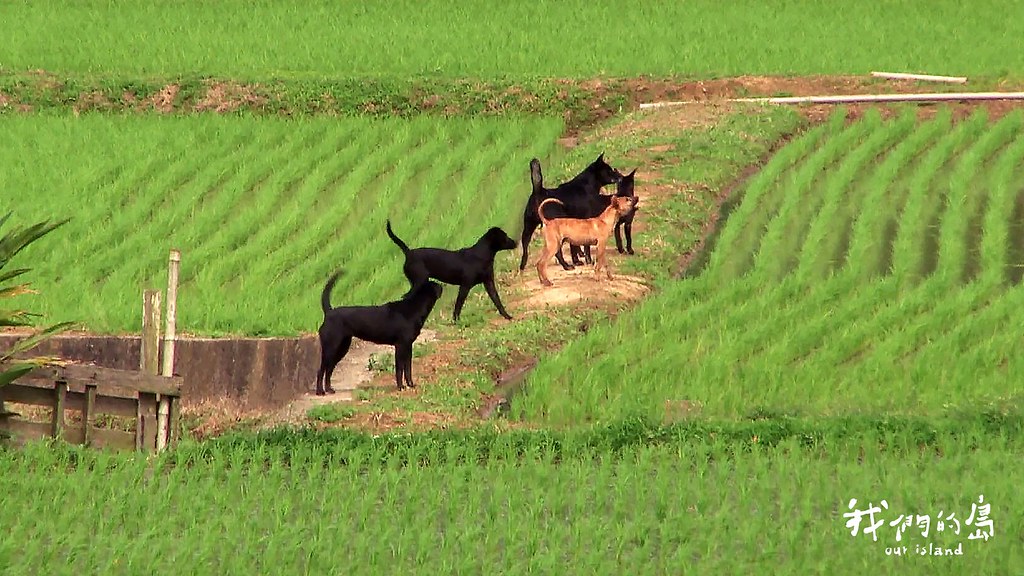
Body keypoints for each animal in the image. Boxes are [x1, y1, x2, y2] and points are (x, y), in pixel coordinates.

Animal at [311, 268, 440, 389]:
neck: (413, 308)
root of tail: (329, 312)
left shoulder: (408, 347)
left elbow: (407, 368)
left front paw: (410, 384)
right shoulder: (401, 346)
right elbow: (399, 369)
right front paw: (400, 387)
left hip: (342, 347)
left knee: (329, 369)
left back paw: (329, 389)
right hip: (331, 348)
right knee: (321, 370)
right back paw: (320, 391)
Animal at [385, 218, 516, 319]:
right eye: (505, 236)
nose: (515, 242)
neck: (482, 255)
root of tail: (409, 253)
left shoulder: (489, 283)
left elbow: (497, 300)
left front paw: (507, 316)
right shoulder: (465, 286)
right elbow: (459, 304)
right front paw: (456, 320)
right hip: (418, 282)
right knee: (406, 298)